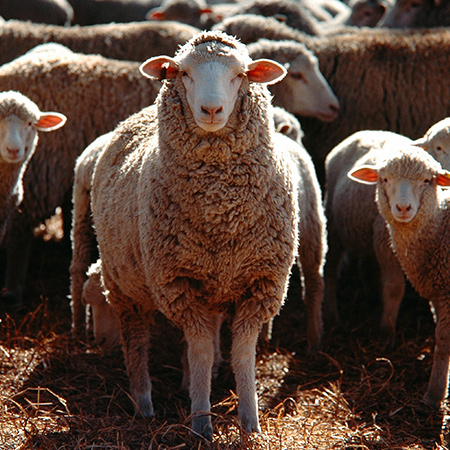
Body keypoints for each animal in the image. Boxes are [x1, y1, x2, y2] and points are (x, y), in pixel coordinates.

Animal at [90, 29, 300, 438]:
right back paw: (144, 404)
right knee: (136, 342)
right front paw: (201, 423)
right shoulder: (179, 283)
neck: (221, 208)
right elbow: (200, 350)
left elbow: (242, 355)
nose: (212, 110)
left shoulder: (261, 283)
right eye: (183, 73)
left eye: (240, 74)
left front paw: (250, 423)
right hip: (125, 285)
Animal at [350, 144, 450, 408]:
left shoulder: (447, 294)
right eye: (384, 179)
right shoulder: (437, 291)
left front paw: (434, 395)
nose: (403, 208)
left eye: (427, 180)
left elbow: (443, 339)